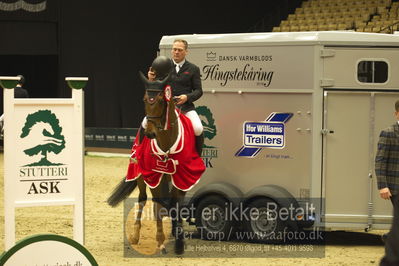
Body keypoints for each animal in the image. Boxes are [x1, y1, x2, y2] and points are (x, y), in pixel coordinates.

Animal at [107, 71, 206, 255]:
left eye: (161, 100)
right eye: (145, 99)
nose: (150, 133)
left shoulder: (182, 177)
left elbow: (176, 205)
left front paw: (179, 241)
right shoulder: (153, 175)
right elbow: (158, 205)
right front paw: (160, 241)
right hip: (141, 173)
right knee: (143, 198)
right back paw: (135, 235)